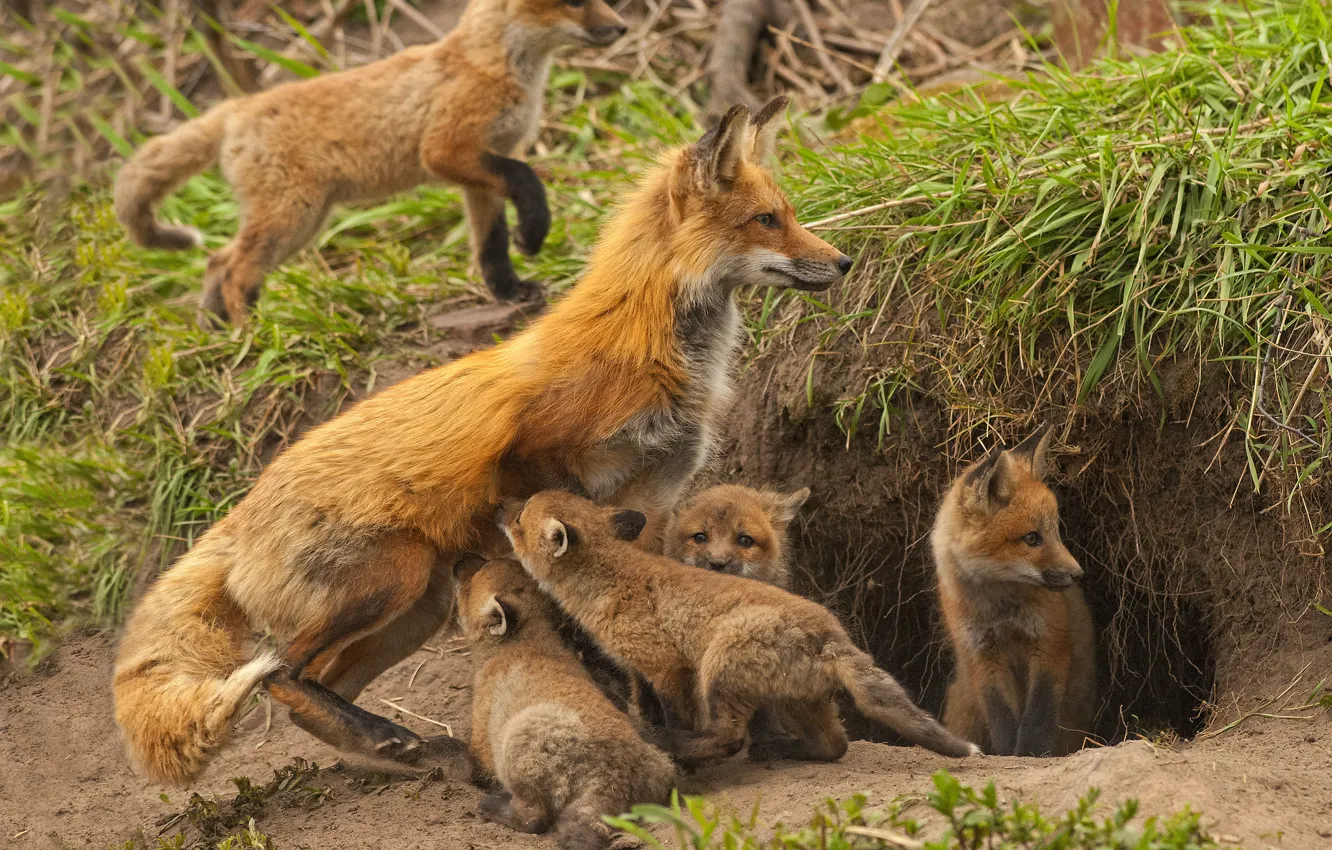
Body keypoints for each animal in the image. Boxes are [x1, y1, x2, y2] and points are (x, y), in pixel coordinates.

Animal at [113, 0, 628, 325]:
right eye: (575, 0)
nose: (623, 27)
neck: (495, 66)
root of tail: (238, 107)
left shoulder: (483, 168)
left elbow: (491, 246)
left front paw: (510, 290)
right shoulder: (446, 151)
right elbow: (529, 183)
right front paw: (535, 233)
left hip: (304, 222)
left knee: (216, 261)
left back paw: (218, 333)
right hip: (291, 217)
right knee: (235, 269)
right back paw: (251, 332)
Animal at [456, 556, 678, 850]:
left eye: (480, 569)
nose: (459, 561)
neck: (526, 640)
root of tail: (614, 777)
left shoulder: (482, 738)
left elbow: (474, 764)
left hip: (518, 747)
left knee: (534, 818)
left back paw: (491, 805)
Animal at [932, 426, 1097, 757]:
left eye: (1056, 532)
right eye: (1031, 538)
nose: (1077, 574)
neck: (999, 609)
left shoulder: (1049, 641)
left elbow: (1038, 714)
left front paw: (1032, 752)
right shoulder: (981, 655)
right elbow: (1002, 716)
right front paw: (1009, 752)